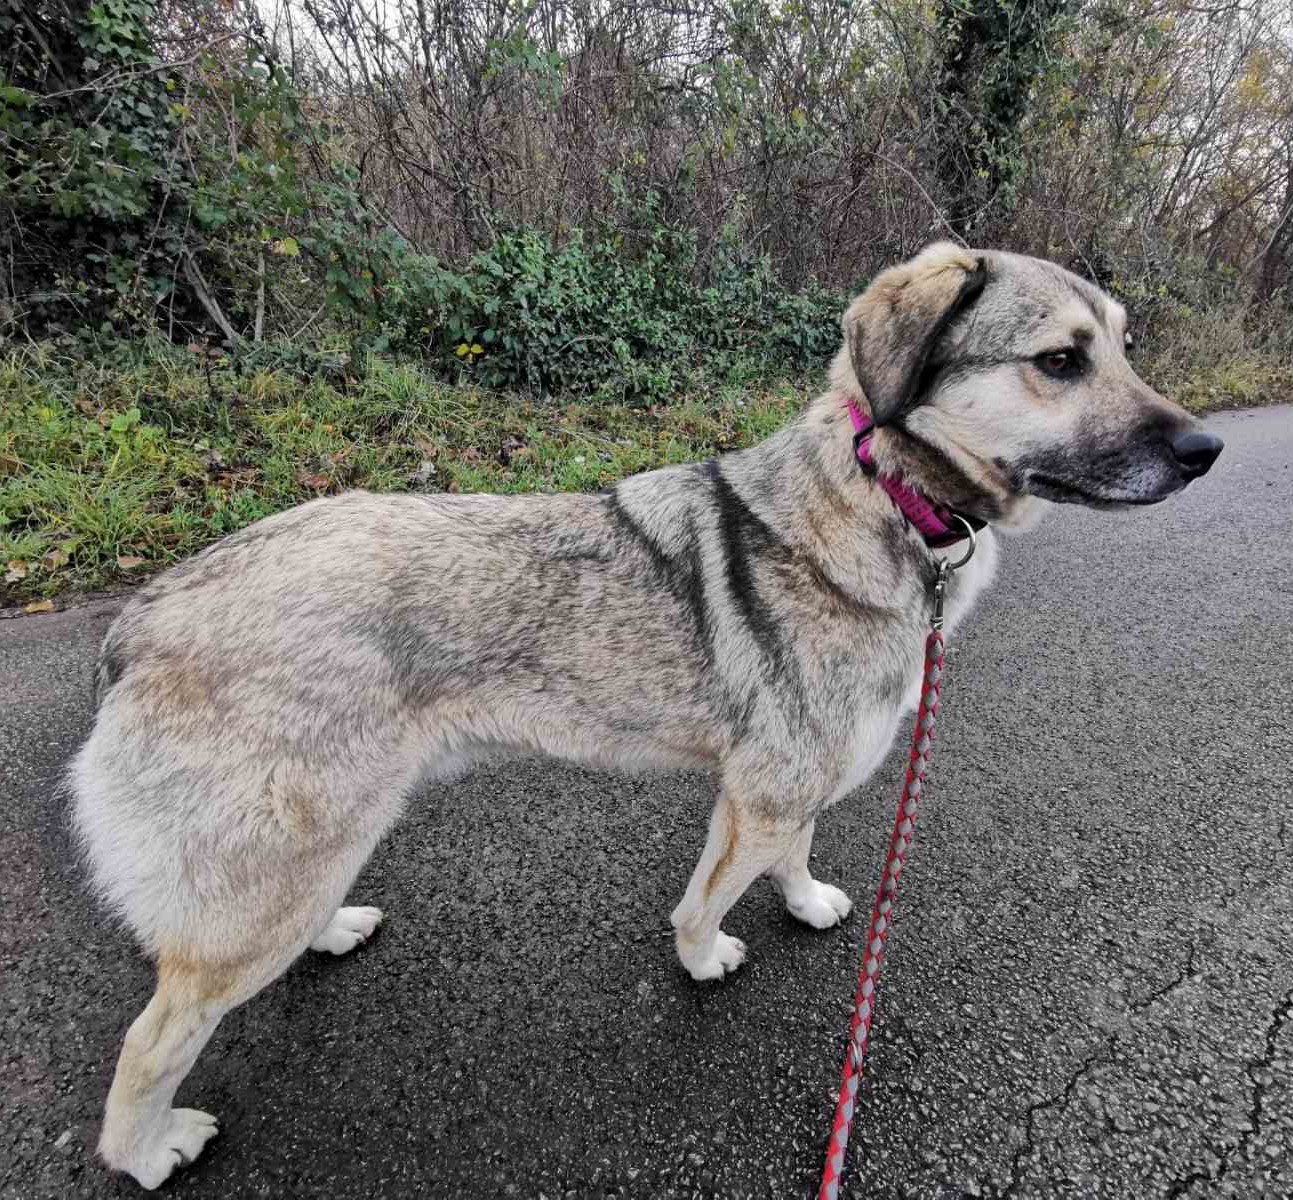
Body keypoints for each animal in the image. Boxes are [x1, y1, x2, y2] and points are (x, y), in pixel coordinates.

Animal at [70, 242, 1222, 1188]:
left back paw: (332, 930)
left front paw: (804, 902)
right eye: (1060, 360)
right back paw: (147, 1151)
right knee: (151, 1040)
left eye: (1124, 348)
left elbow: (793, 857)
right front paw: (704, 960)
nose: (1207, 450)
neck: (889, 494)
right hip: (266, 878)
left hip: (312, 847)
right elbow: (708, 902)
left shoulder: (787, 786)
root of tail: (147, 615)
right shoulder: (758, 796)